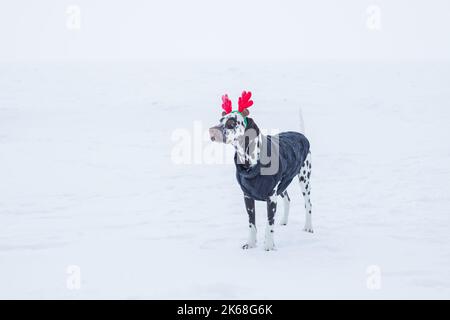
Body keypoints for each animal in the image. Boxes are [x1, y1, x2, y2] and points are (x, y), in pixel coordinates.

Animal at [208, 91, 312, 251]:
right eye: (220, 119)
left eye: (231, 122)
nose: (212, 131)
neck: (250, 164)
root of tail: (301, 135)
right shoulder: (248, 197)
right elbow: (252, 224)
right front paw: (251, 244)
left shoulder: (271, 198)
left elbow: (269, 225)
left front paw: (268, 246)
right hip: (283, 185)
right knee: (288, 199)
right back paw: (284, 221)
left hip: (304, 180)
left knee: (308, 205)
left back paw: (308, 227)